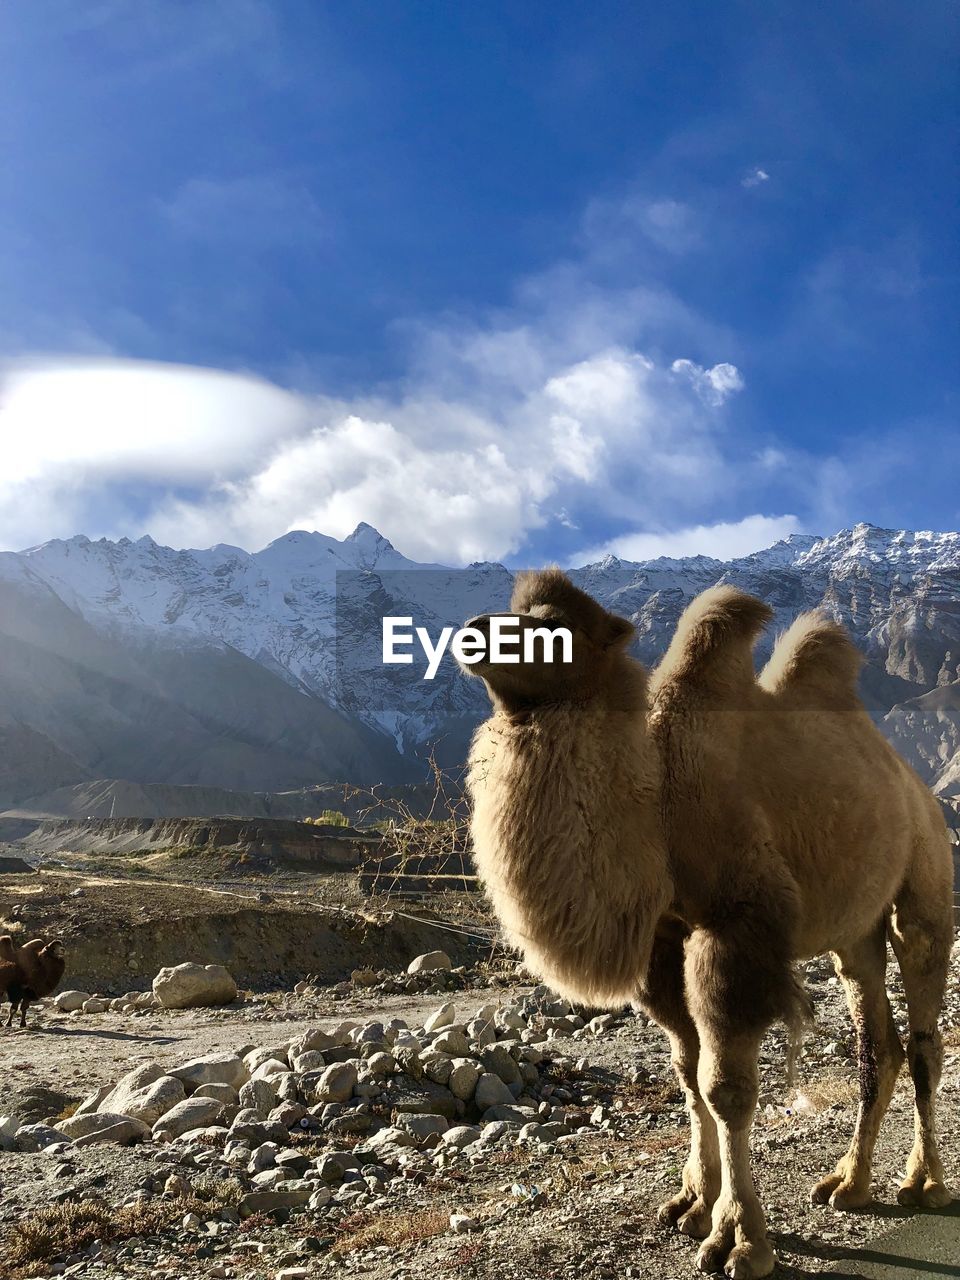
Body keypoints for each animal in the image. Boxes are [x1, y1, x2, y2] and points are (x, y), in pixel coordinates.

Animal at [460, 569, 954, 1279]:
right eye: (518, 610)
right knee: (875, 1044)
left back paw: (925, 1183)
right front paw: (691, 1204)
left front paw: (738, 1240)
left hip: (926, 883)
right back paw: (849, 1184)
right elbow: (688, 1072)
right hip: (854, 930)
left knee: (921, 1037)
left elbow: (727, 1089)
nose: (472, 633)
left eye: (557, 624)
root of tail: (920, 790)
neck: (657, 796)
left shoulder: (736, 923)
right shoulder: (664, 939)